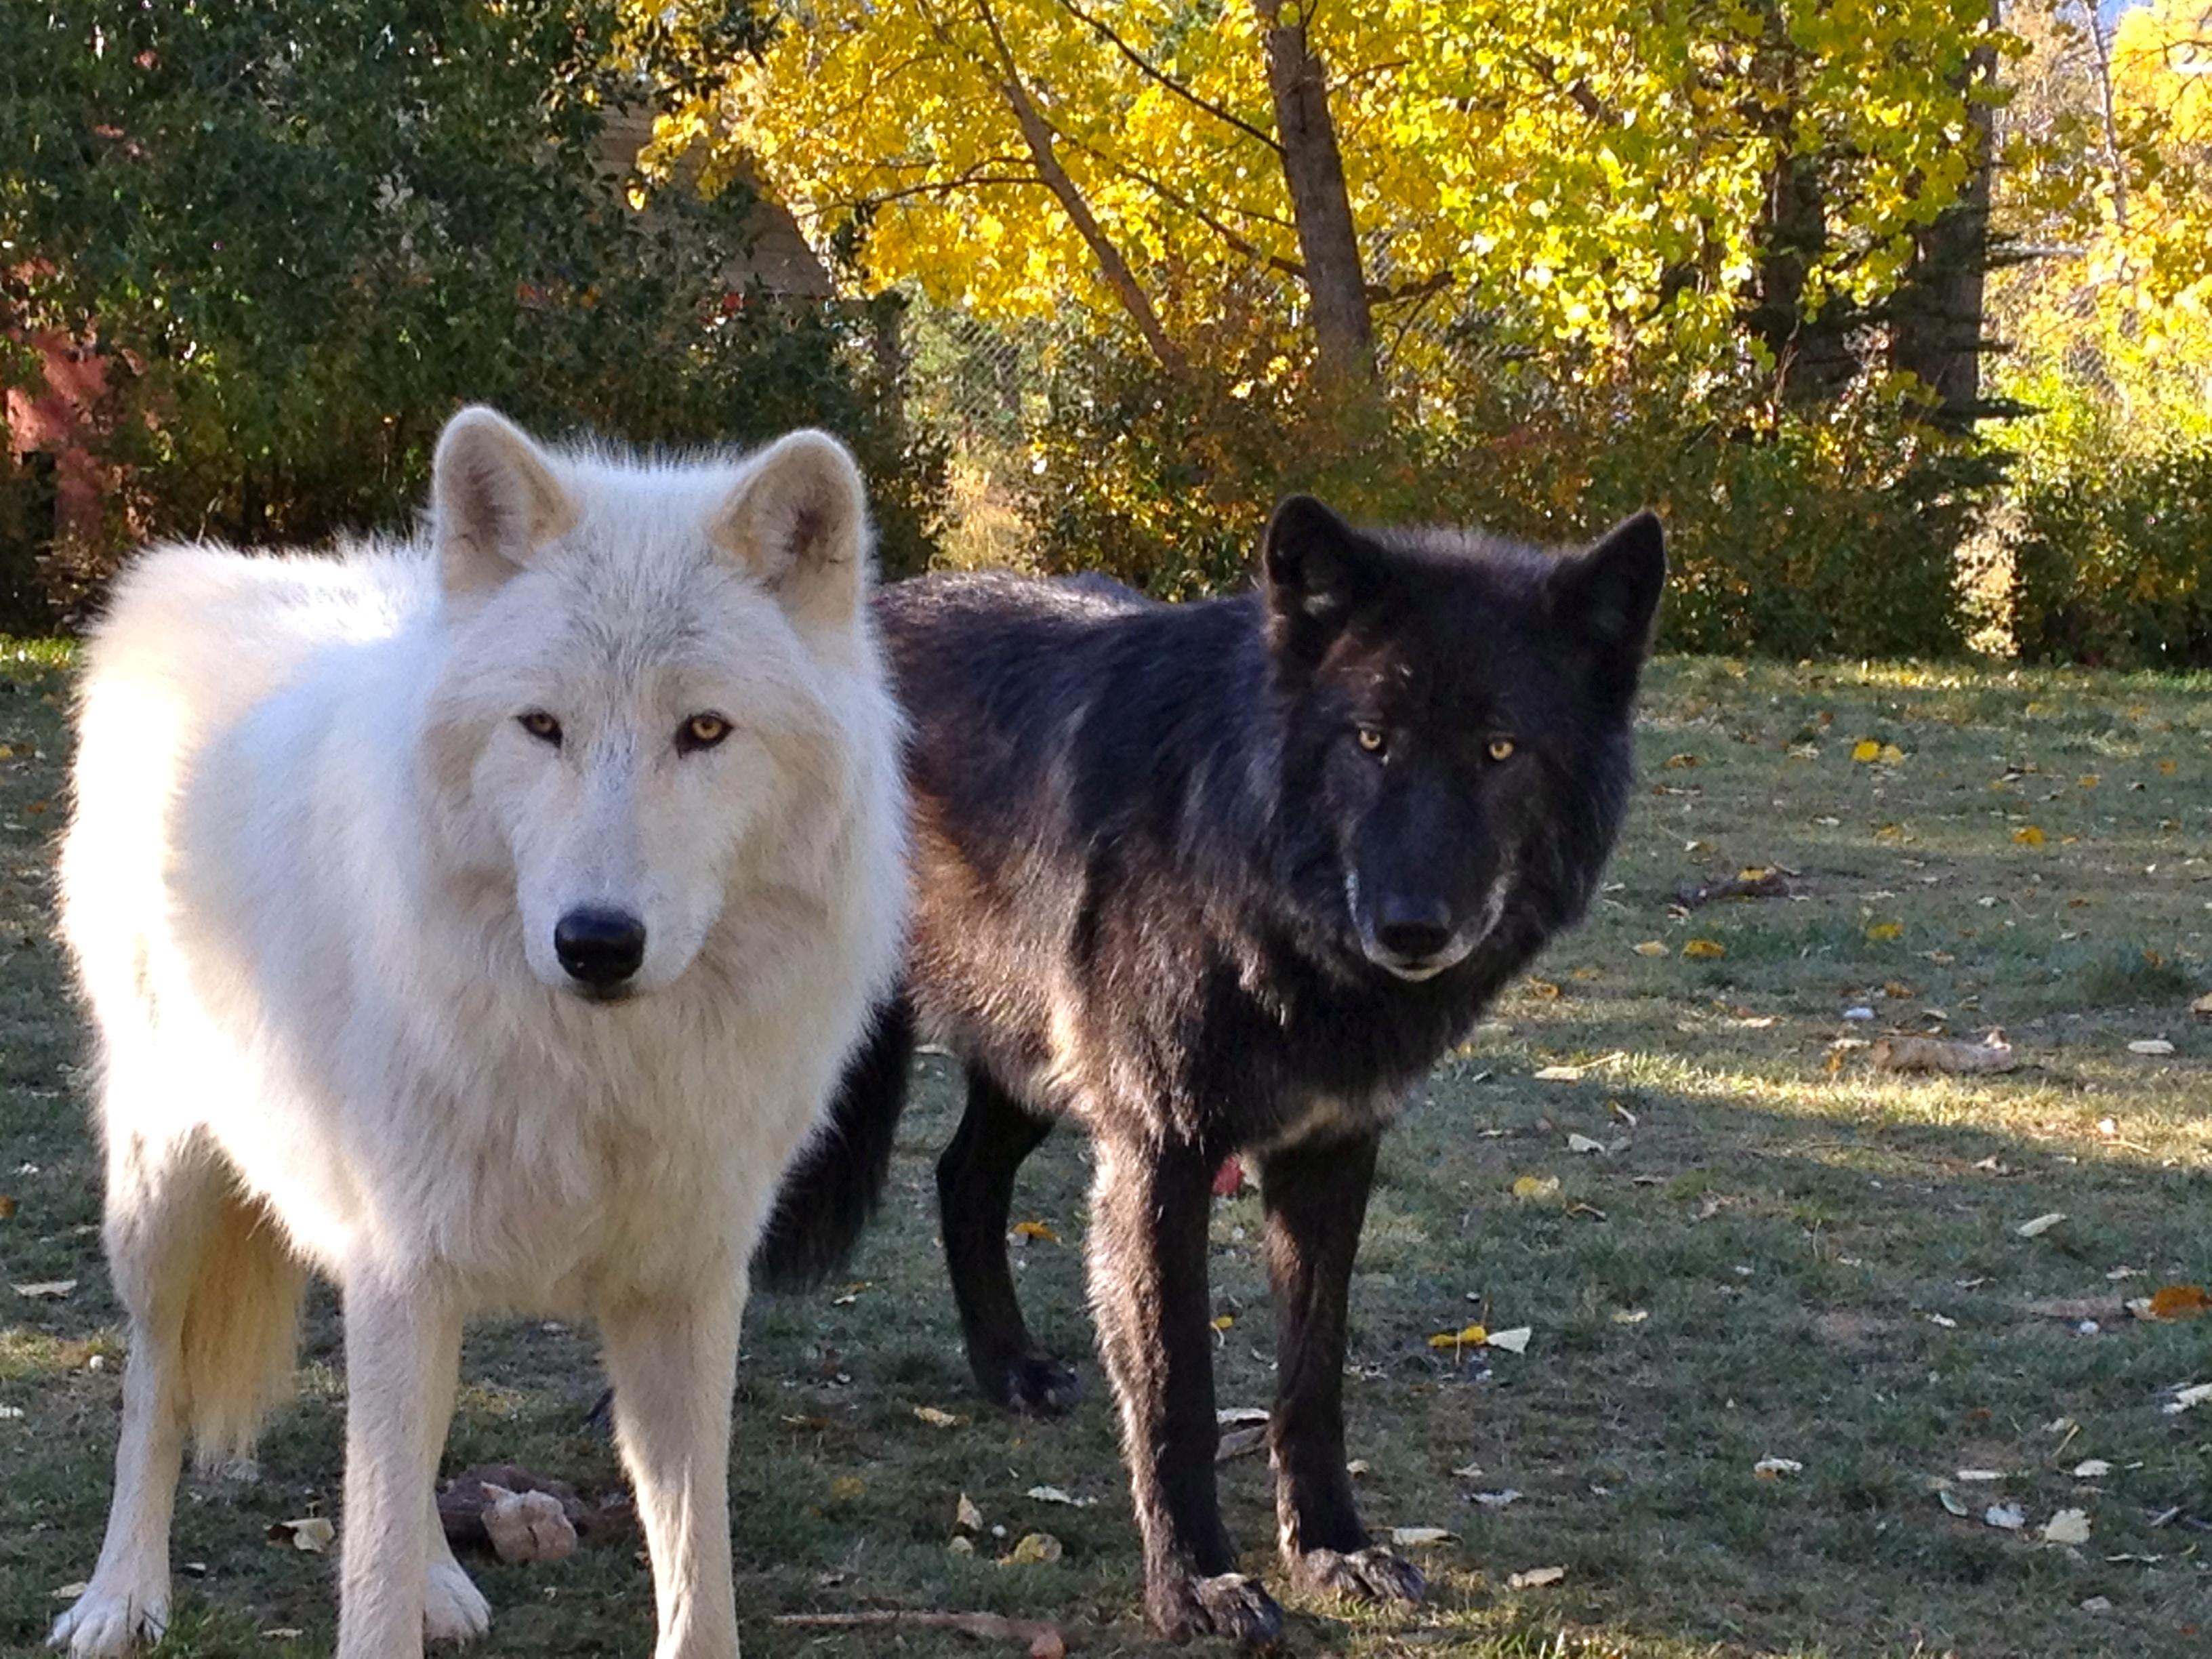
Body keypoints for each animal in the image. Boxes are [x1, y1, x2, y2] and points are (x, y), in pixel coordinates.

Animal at [47, 407, 907, 1659]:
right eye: (540, 726)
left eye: (704, 730)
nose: (597, 941)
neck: (600, 1075)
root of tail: (192, 574)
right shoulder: (402, 1268)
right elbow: (365, 1563)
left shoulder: (686, 1288)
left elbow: (697, 1569)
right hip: (165, 1195)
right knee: (156, 1380)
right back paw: (120, 1596)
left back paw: (440, 1582)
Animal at [760, 497, 1663, 1654]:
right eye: (1370, 741)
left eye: (1501, 748)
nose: (1413, 929)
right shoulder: (1159, 1154)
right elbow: (1177, 1386)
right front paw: (1193, 1581)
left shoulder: (1328, 1154)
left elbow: (1311, 1380)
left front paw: (1333, 1549)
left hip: (1034, 1065)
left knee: (962, 1176)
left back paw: (1010, 1368)